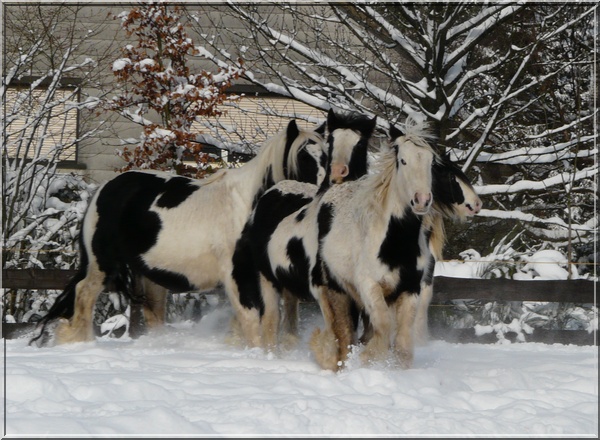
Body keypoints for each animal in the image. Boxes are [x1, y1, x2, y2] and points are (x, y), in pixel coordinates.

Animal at [30, 119, 330, 348]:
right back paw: (78, 343)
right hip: (101, 263)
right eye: (303, 159)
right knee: (84, 295)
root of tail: (103, 190)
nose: (321, 194)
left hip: (148, 274)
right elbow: (252, 321)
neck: (247, 206)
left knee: (152, 313)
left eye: (326, 158)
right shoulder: (239, 276)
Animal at [230, 109, 376, 348]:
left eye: (361, 143)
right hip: (266, 280)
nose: (338, 173)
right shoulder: (326, 290)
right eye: (332, 140)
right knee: (271, 323)